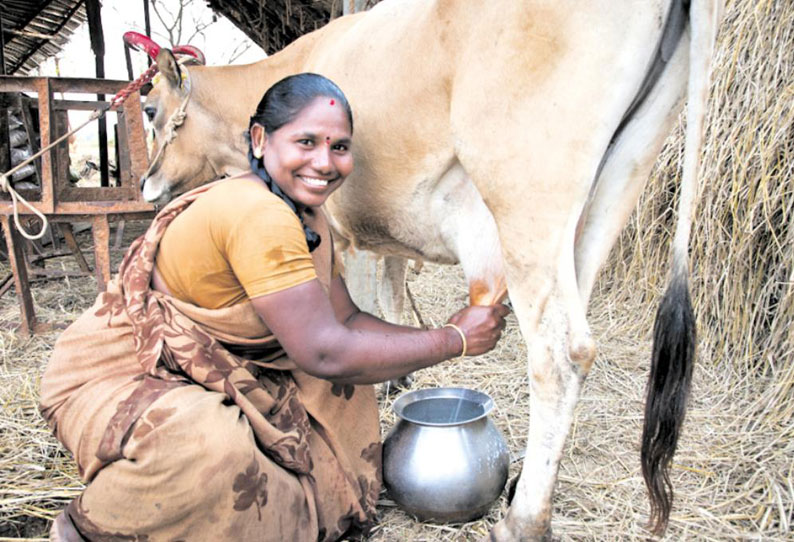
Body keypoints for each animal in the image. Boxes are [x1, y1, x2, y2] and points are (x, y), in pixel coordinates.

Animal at [135, 2, 716, 540]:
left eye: (149, 108)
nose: (144, 182)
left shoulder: (343, 229)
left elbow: (359, 304)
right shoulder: (385, 231)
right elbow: (391, 296)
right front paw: (398, 378)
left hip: (528, 196)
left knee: (560, 353)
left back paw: (523, 520)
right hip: (616, 184)